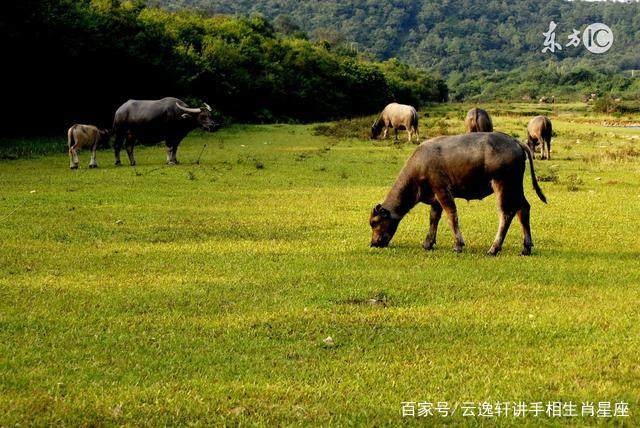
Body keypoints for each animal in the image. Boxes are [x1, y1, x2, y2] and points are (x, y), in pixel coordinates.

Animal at [370, 132, 544, 256]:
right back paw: (526, 247)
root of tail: (515, 141)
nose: (373, 243)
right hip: (515, 186)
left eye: (374, 223)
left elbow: (451, 214)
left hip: (502, 185)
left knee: (506, 213)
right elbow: (433, 218)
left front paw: (458, 245)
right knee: (523, 209)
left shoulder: (442, 190)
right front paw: (428, 243)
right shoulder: (435, 198)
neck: (420, 165)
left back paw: (494, 248)